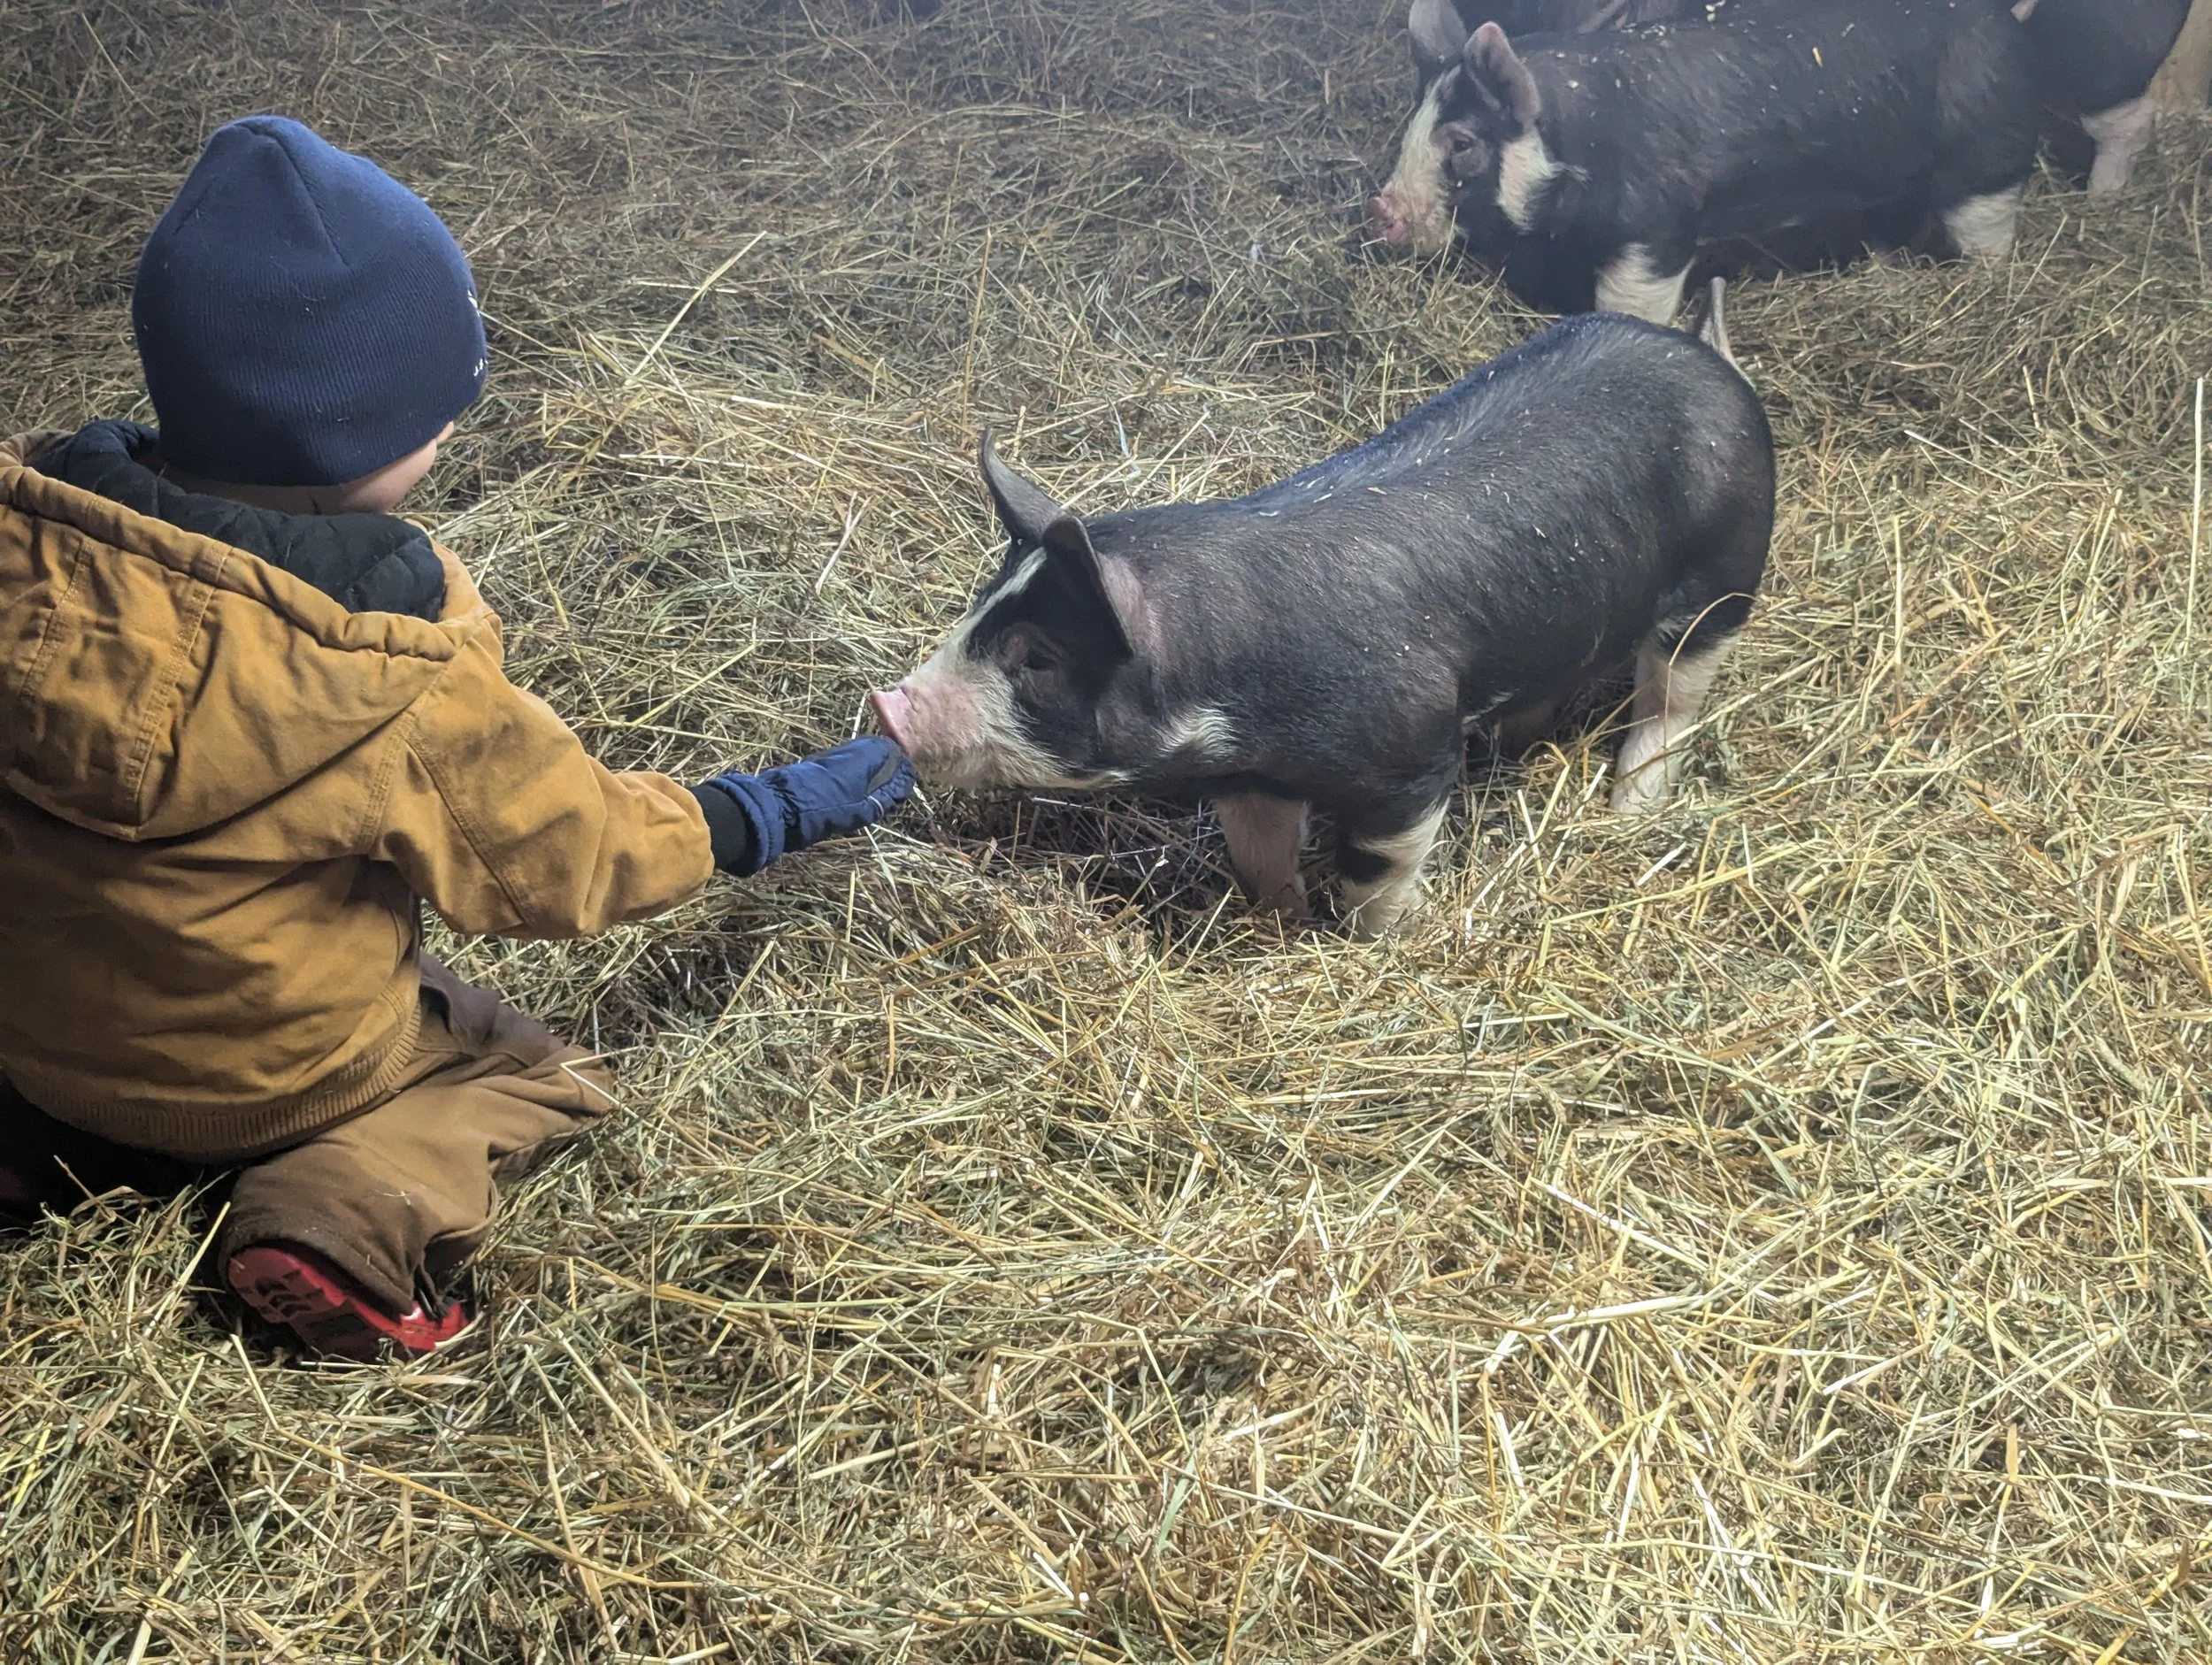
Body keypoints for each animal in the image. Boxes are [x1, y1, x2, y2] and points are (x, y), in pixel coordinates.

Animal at [871, 284, 1773, 940]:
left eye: (1036, 657)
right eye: (979, 610)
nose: (886, 706)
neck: (1225, 691)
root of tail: (1712, 356)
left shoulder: (1411, 761)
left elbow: (1376, 867)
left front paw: (1380, 938)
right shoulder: (1250, 776)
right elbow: (1260, 855)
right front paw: (1280, 921)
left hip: (1723, 583)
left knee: (1671, 699)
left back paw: (1630, 808)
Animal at [1366, 0, 2041, 324]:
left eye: (1460, 144)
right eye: (1411, 126)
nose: (1379, 209)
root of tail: (2004, 23)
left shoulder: (1659, 230)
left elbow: (1633, 301)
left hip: (1987, 156)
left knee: (1987, 226)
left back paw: (1983, 281)